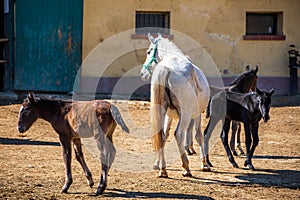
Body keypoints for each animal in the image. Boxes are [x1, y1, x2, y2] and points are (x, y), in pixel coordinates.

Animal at [141, 33, 211, 177]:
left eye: (149, 52)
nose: (142, 73)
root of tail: (166, 68)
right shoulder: (196, 114)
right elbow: (199, 135)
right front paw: (204, 163)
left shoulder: (169, 115)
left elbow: (164, 135)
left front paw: (157, 163)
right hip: (185, 115)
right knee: (179, 134)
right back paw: (186, 167)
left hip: (164, 111)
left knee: (161, 135)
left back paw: (163, 169)